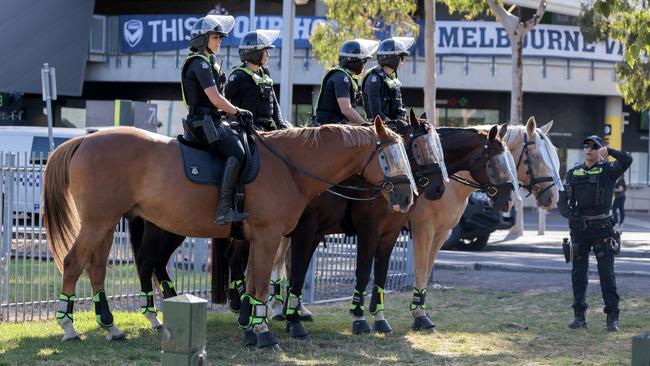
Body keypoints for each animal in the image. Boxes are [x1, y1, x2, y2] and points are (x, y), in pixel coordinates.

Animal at [41, 118, 416, 348]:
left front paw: (250, 329)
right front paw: (263, 332)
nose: (408, 197)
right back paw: (68, 326)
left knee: (98, 268)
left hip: (106, 223)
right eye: (389, 157)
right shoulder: (269, 237)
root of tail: (85, 140)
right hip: (99, 222)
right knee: (75, 263)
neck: (289, 168)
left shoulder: (261, 240)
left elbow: (250, 284)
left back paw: (111, 326)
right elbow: (262, 284)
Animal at [278, 124, 516, 338]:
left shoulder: (410, 233)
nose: (509, 201)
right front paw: (364, 318)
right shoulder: (384, 230)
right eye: (496, 163)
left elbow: (391, 273)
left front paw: (384, 318)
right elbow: (372, 271)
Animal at [408, 117, 560, 332]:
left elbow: (427, 270)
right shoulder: (424, 230)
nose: (553, 198)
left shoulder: (441, 233)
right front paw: (420, 317)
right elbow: (420, 270)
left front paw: (422, 312)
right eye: (537, 156)